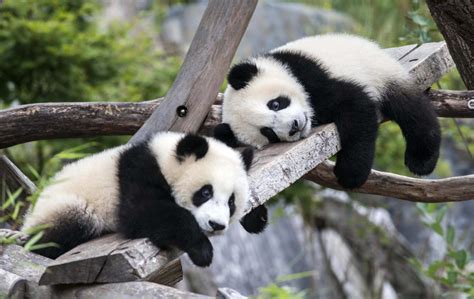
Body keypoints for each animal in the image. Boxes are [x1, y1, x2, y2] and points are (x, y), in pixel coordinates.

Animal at [22, 133, 268, 268]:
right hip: (65, 205)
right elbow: (141, 212)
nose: (216, 225)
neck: (164, 157)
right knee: (66, 228)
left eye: (231, 202)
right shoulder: (137, 171)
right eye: (205, 192)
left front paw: (257, 217)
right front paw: (202, 251)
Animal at [217, 32, 442, 188]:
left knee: (411, 111)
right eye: (268, 132)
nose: (294, 127)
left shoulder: (311, 77)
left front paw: (350, 174)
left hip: (382, 72)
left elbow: (356, 108)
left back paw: (421, 160)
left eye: (275, 104)